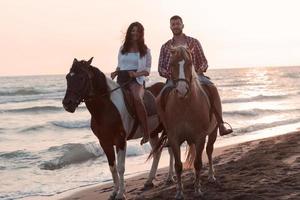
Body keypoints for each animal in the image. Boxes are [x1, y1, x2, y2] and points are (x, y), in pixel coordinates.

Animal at [62, 57, 171, 199]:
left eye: (81, 77)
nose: (67, 103)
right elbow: (112, 167)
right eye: (67, 77)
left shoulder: (120, 140)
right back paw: (149, 181)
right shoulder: (105, 142)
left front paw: (121, 193)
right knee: (157, 152)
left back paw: (170, 177)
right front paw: (114, 192)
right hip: (153, 133)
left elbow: (120, 167)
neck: (106, 109)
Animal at [155, 46, 218, 198]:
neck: (185, 106)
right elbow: (178, 165)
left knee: (209, 151)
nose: (182, 90)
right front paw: (179, 192)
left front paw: (197, 190)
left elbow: (198, 163)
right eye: (172, 64)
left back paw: (211, 176)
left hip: (213, 132)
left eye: (190, 64)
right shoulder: (174, 138)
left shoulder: (200, 137)